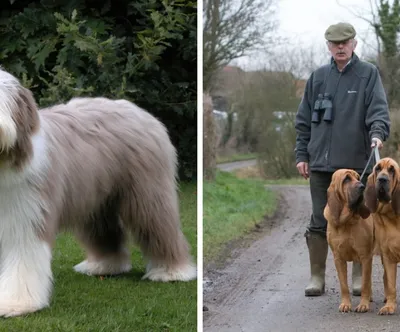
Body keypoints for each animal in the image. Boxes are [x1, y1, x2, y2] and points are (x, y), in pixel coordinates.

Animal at [0, 68, 197, 316]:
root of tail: (139, 111)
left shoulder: (27, 215)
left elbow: (22, 258)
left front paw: (15, 302)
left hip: (148, 195)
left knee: (160, 227)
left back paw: (172, 271)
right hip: (98, 201)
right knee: (106, 231)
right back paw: (105, 265)